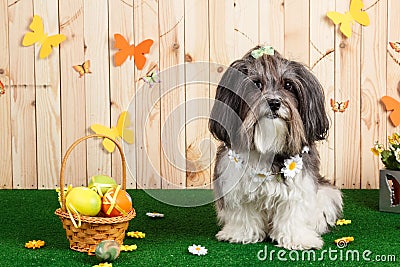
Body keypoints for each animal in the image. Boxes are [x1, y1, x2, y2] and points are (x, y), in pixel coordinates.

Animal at [208, 46, 342, 251]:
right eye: (256, 84)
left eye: (288, 85)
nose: (274, 103)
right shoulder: (236, 183)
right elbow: (244, 212)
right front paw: (241, 234)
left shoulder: (298, 186)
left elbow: (293, 214)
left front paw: (298, 239)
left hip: (329, 194)